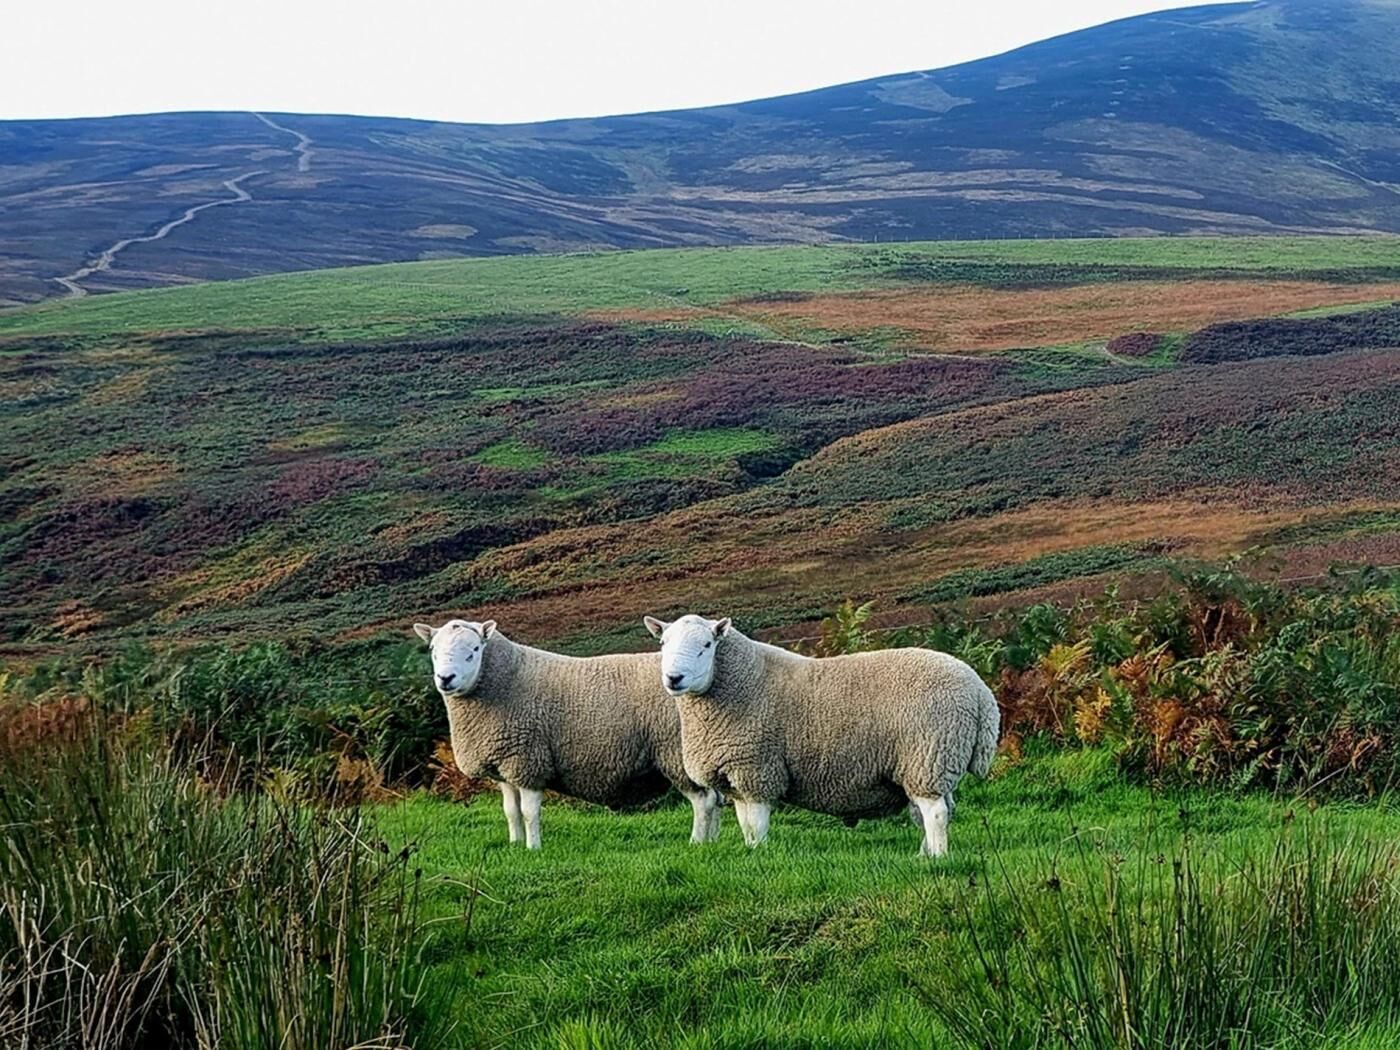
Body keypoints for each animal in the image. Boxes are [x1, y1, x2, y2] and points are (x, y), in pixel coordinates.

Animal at [413, 619, 721, 849]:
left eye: (474, 649)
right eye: (433, 649)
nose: (445, 679)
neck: (505, 680)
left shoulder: (528, 761)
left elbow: (529, 812)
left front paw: (533, 849)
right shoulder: (504, 767)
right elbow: (510, 811)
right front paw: (514, 845)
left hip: (677, 752)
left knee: (703, 800)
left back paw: (697, 843)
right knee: (717, 797)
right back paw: (714, 841)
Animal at [642, 614, 999, 856]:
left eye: (707, 645)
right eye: (663, 644)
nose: (674, 678)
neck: (741, 683)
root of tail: (980, 692)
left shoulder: (757, 769)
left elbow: (757, 822)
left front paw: (761, 854)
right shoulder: (739, 779)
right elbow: (746, 825)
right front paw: (751, 851)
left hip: (929, 755)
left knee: (935, 812)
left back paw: (937, 857)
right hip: (930, 763)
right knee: (942, 809)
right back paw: (923, 854)